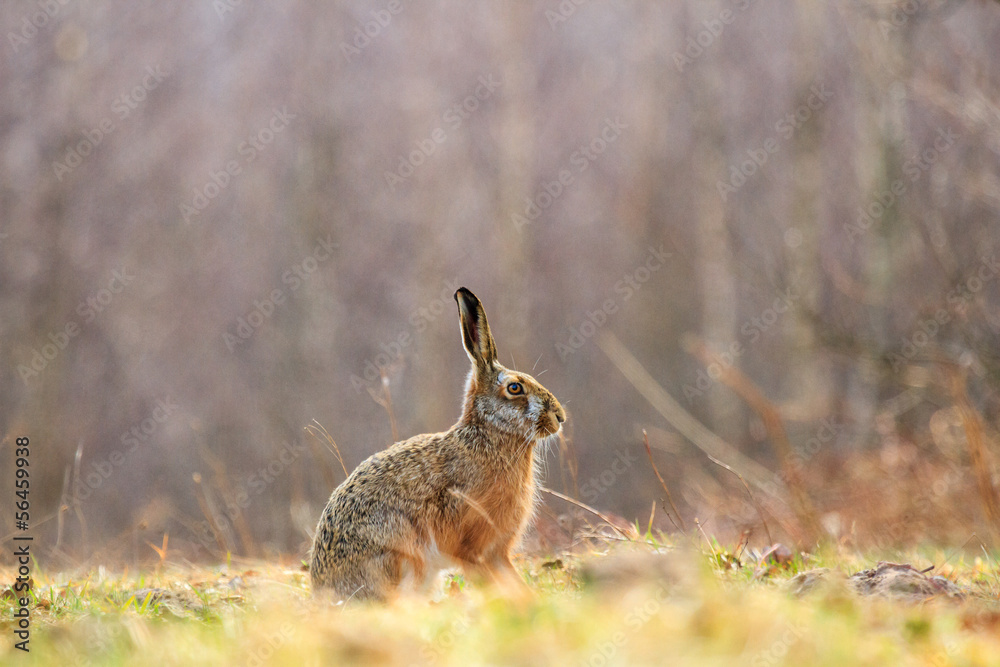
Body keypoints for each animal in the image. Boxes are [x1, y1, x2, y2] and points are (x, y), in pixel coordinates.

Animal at [310, 287, 566, 602]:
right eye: (515, 388)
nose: (560, 417)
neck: (487, 436)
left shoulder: (497, 552)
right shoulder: (471, 547)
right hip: (404, 557)